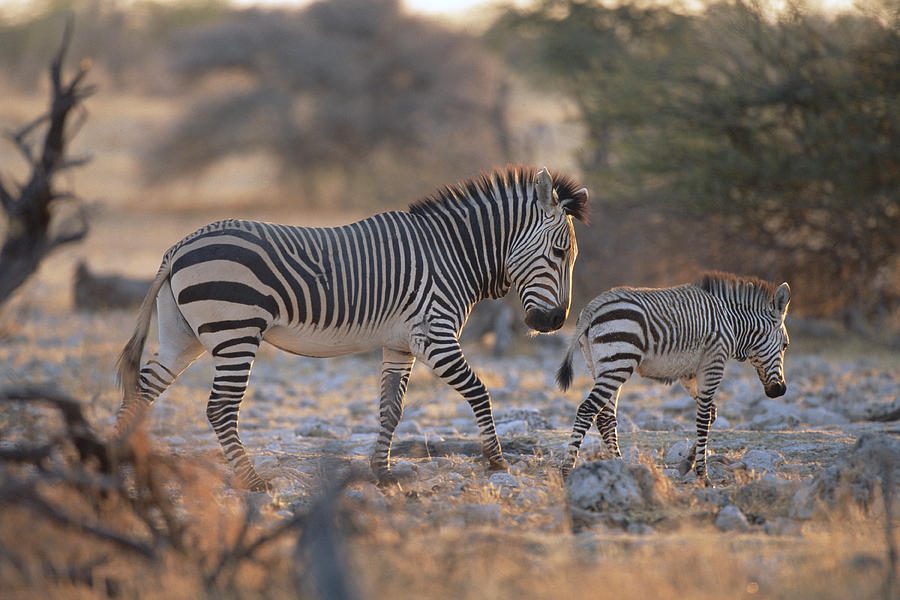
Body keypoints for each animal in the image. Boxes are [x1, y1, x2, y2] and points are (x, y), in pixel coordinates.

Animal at [116, 166, 589, 491]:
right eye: (559, 252)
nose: (553, 322)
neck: (453, 253)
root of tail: (178, 247)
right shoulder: (433, 336)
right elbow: (479, 391)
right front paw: (495, 461)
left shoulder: (400, 344)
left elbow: (390, 409)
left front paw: (382, 471)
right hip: (236, 331)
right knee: (219, 408)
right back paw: (253, 482)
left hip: (183, 336)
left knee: (140, 390)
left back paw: (114, 460)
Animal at [556, 272, 790, 485]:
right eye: (785, 345)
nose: (780, 390)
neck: (733, 324)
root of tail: (593, 306)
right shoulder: (714, 362)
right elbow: (703, 418)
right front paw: (703, 476)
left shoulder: (689, 374)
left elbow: (711, 412)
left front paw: (687, 464)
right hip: (618, 362)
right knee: (587, 409)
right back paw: (567, 472)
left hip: (601, 366)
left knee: (604, 418)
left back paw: (620, 468)